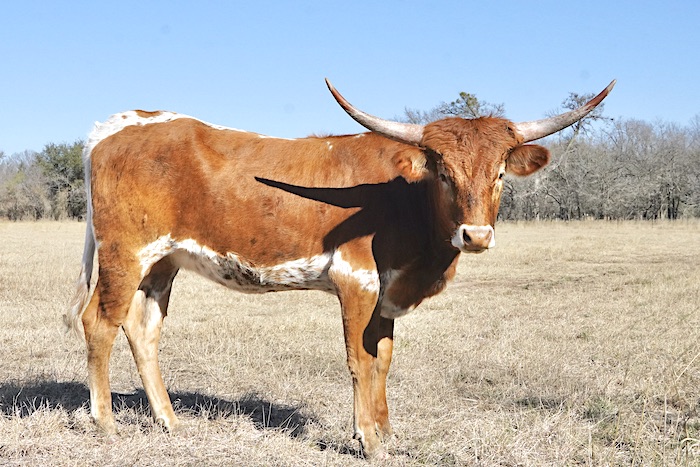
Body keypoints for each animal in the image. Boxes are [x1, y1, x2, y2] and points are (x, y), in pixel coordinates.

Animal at [65, 78, 612, 458]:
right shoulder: (357, 281)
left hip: (161, 264)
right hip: (124, 253)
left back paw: (169, 421)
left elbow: (384, 358)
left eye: (499, 173)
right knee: (99, 323)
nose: (475, 236)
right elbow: (360, 360)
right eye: (443, 172)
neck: (403, 197)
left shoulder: (388, 291)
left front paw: (388, 432)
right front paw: (366, 439)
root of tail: (116, 125)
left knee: (142, 330)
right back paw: (106, 423)